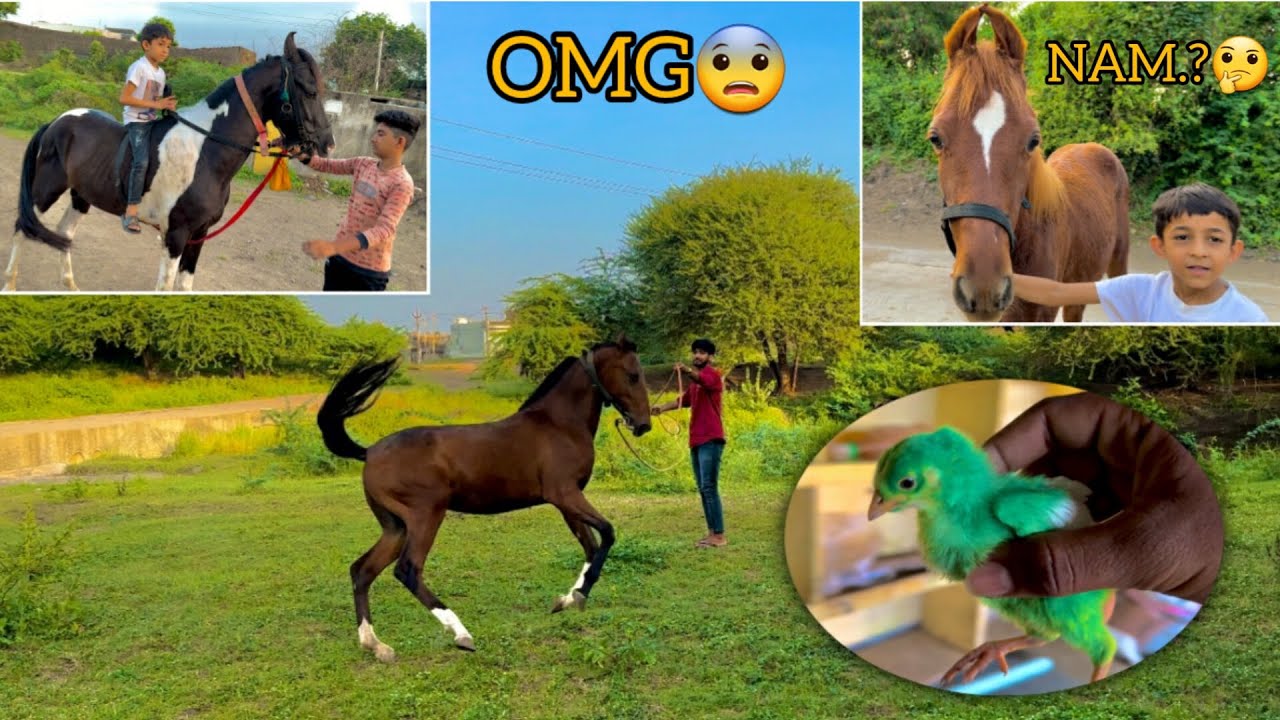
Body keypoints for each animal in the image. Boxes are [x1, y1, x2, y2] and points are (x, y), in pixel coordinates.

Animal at [9, 32, 334, 292]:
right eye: (309, 90)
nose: (326, 145)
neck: (206, 152)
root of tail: (56, 122)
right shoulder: (176, 234)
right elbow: (165, 288)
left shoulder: (199, 234)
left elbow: (185, 285)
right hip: (46, 191)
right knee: (23, 227)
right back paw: (10, 285)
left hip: (81, 196)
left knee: (64, 234)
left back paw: (70, 286)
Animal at [316, 338, 653, 659]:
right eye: (633, 375)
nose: (643, 424)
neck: (558, 425)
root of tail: (369, 452)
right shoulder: (565, 494)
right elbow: (607, 533)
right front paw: (579, 595)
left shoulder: (567, 502)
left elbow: (590, 546)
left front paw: (567, 600)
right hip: (425, 516)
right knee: (407, 570)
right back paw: (462, 635)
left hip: (395, 526)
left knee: (362, 571)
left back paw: (376, 645)